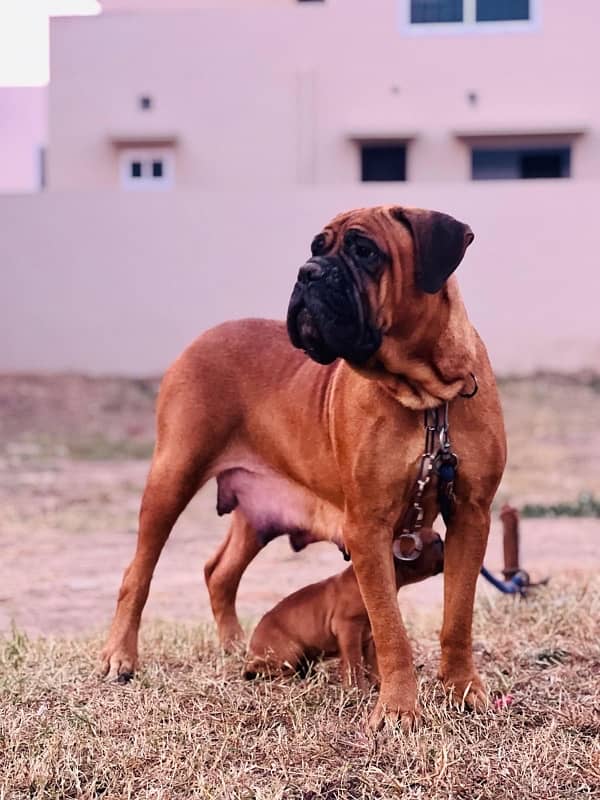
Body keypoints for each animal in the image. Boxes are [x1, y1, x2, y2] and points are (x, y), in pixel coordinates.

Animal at [244, 528, 446, 692]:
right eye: (436, 542)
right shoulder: (348, 630)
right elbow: (354, 662)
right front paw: (357, 689)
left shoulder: (369, 637)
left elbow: (372, 664)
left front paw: (377, 684)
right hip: (289, 652)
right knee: (261, 669)